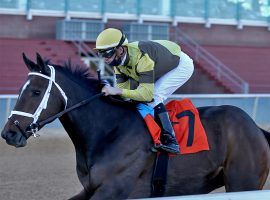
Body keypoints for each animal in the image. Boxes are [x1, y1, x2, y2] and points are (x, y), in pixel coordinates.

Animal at [1, 53, 270, 200]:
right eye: (21, 90)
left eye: (36, 92)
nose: (9, 133)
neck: (108, 132)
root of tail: (256, 129)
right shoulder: (90, 189)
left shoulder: (113, 190)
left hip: (242, 182)